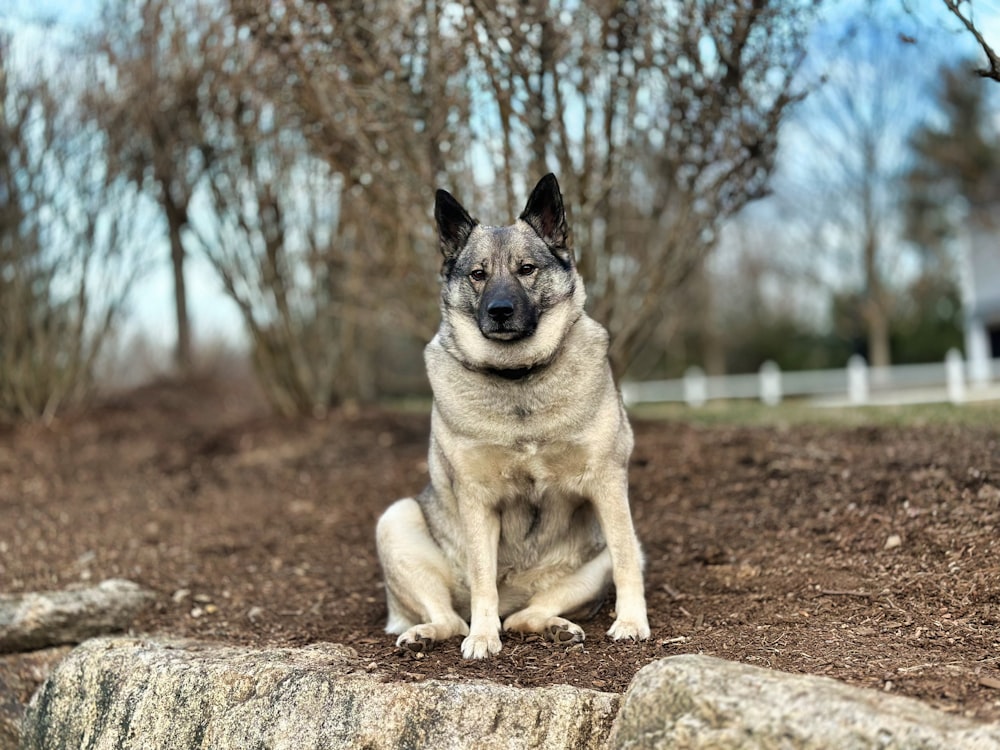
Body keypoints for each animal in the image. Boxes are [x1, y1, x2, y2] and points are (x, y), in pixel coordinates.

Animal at [376, 173, 648, 660]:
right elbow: (483, 578)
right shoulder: (477, 499)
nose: (499, 311)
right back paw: (430, 633)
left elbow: (624, 563)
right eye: (478, 274)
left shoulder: (608, 483)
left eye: (526, 269)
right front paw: (483, 637)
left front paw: (632, 621)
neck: (518, 377)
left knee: (528, 614)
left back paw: (554, 627)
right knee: (452, 617)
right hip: (396, 519)